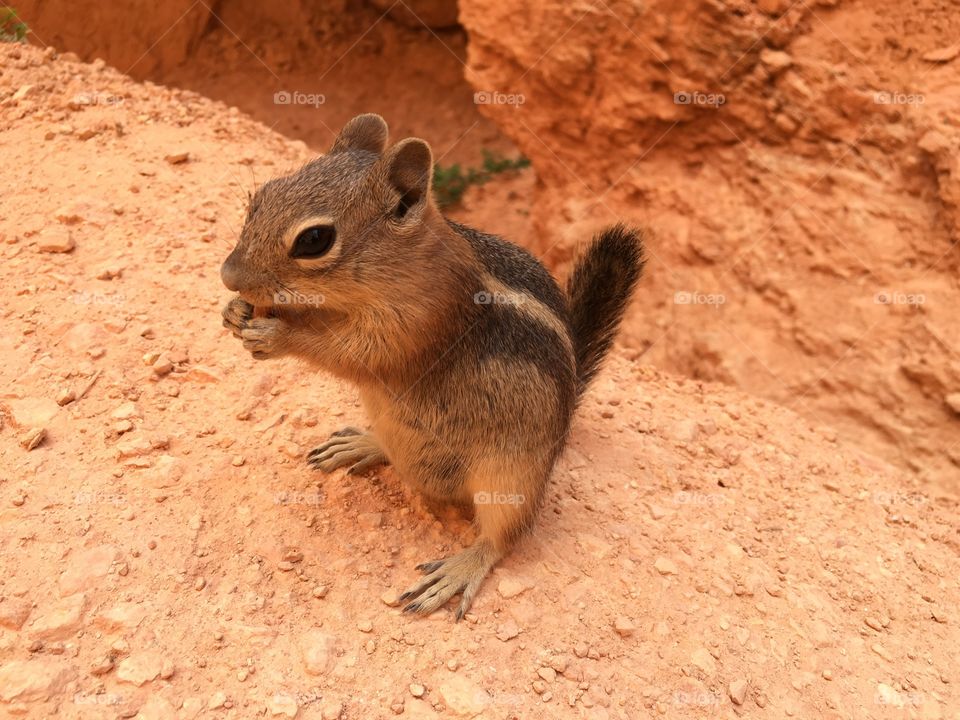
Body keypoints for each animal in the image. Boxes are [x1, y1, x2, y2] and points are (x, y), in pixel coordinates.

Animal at [220, 114, 645, 620]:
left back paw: (459, 569)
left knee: (504, 536)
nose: (228, 276)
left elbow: (353, 352)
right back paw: (363, 443)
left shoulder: (419, 324)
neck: (404, 264)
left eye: (314, 240)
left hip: (513, 476)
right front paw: (236, 313)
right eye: (260, 197)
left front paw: (276, 335)